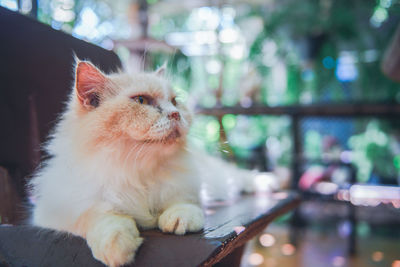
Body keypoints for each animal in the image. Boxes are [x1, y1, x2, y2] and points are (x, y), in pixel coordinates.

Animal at [29, 60, 255, 267]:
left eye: (174, 101)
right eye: (141, 100)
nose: (175, 114)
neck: (137, 171)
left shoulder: (188, 187)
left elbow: (184, 202)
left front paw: (179, 219)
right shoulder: (58, 210)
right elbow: (102, 217)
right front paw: (117, 247)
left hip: (223, 178)